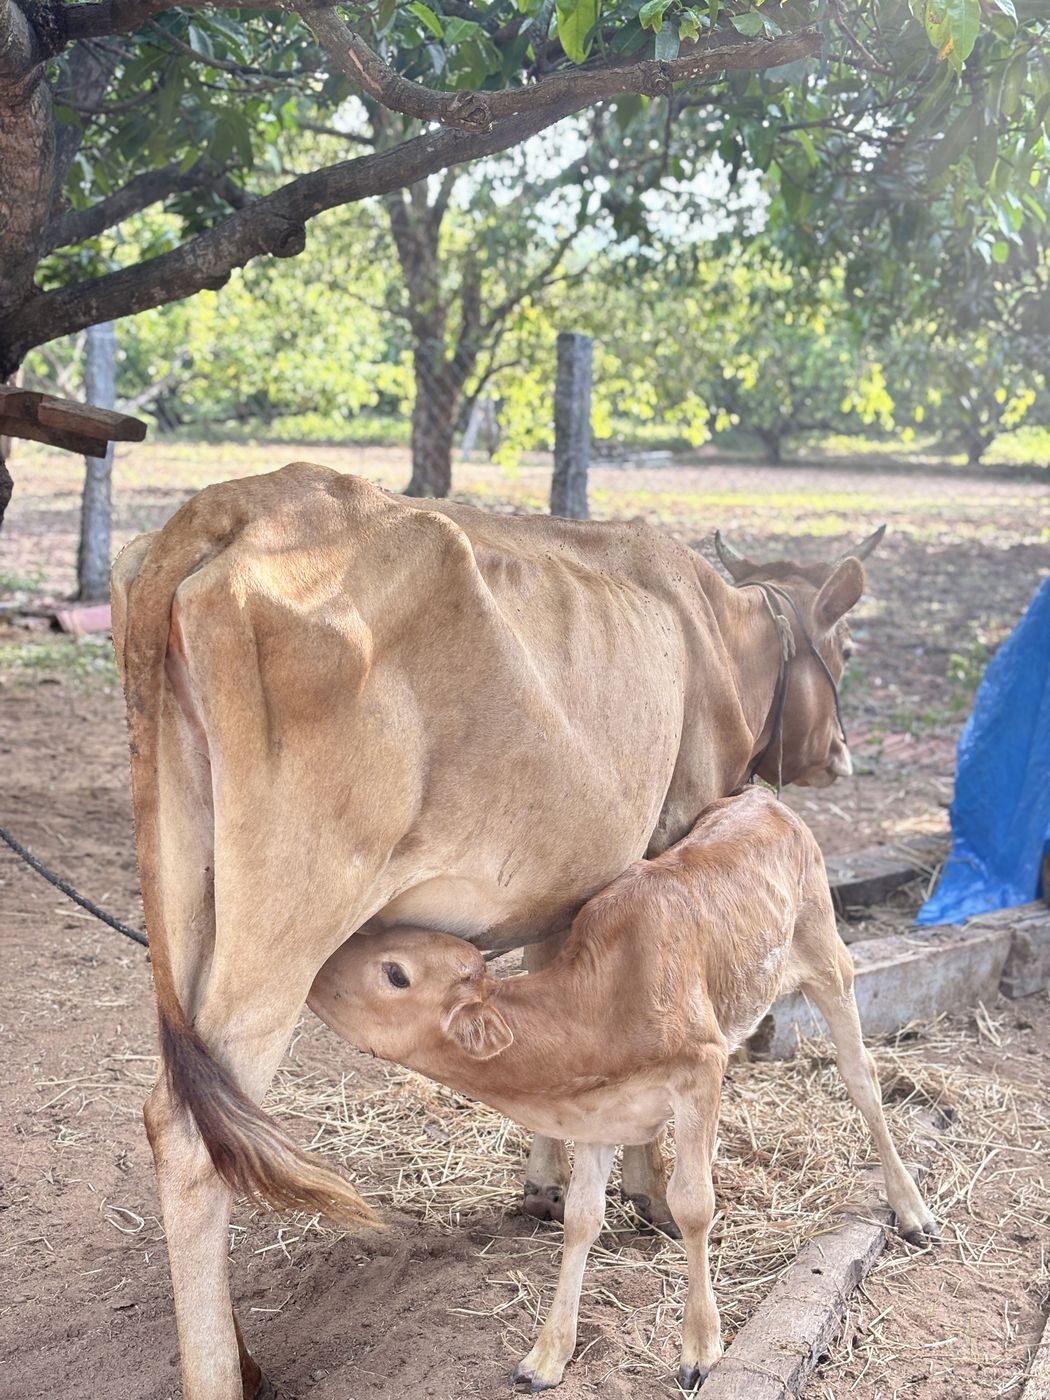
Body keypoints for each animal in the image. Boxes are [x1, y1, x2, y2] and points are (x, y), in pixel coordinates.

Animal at [308, 786, 937, 1392]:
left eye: (395, 973)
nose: (316, 970)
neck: (603, 1001)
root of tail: (762, 796)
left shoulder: (699, 1067)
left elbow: (693, 1203)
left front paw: (701, 1347)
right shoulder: (598, 1113)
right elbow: (581, 1219)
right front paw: (547, 1356)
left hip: (829, 961)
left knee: (863, 1081)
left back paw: (912, 1209)